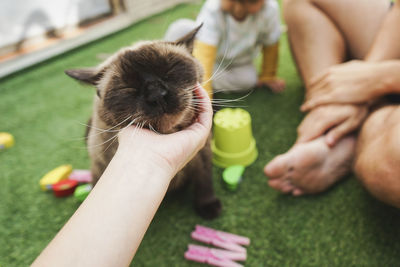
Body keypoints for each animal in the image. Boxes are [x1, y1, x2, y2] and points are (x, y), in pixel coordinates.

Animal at [65, 25, 222, 221]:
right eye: (127, 88)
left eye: (169, 71)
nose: (157, 96)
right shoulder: (99, 167)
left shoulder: (203, 154)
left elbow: (204, 180)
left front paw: (208, 206)